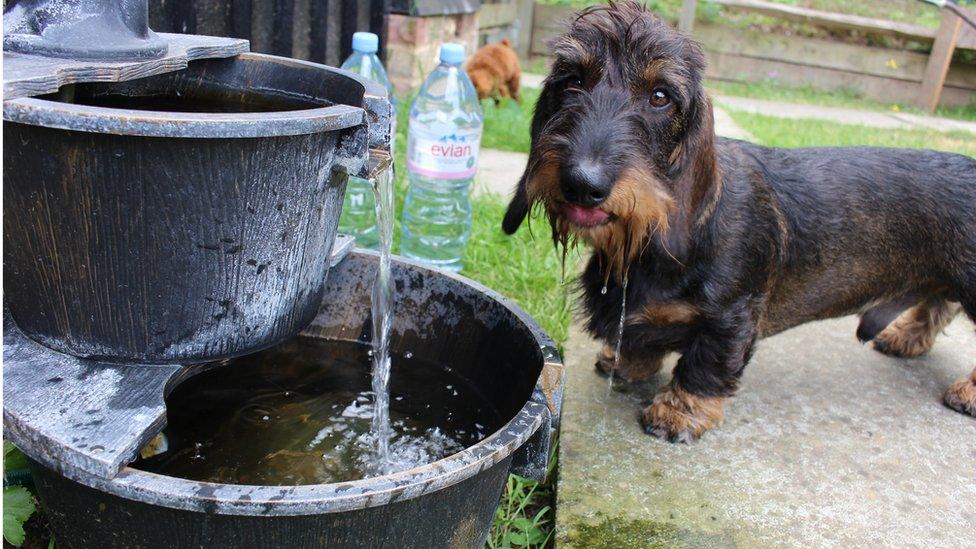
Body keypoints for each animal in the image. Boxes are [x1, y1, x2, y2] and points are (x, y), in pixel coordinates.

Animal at [504, 1, 976, 440]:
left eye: (660, 96)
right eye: (572, 80)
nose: (582, 184)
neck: (650, 237)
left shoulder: (733, 316)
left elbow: (706, 364)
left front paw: (678, 412)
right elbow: (640, 339)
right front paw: (629, 364)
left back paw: (967, 391)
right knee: (938, 302)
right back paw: (905, 337)